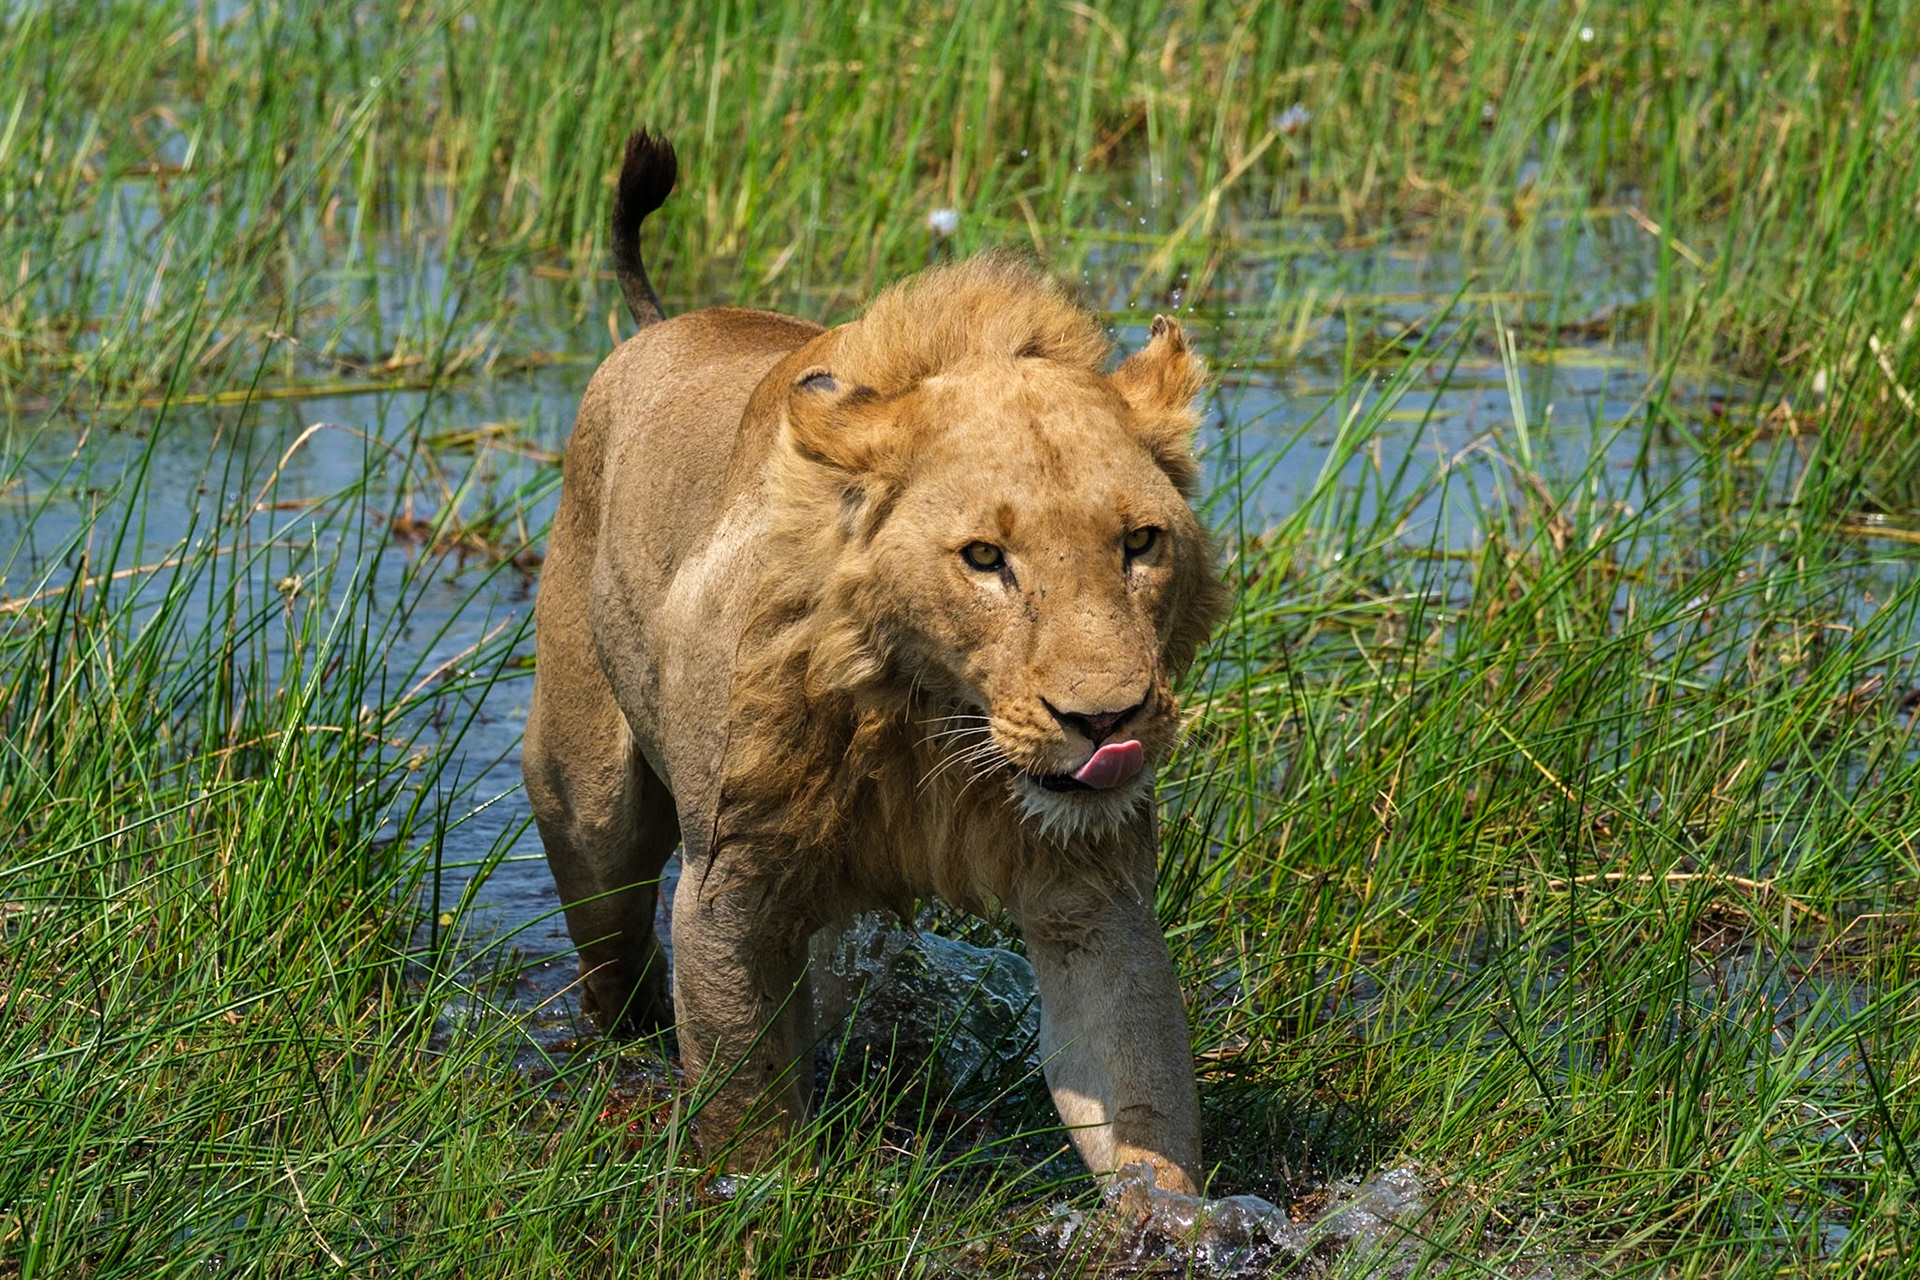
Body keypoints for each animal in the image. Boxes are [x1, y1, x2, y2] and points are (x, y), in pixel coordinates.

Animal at [522, 129, 1229, 1193]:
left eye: (1140, 543)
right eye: (984, 559)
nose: (1105, 721)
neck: (930, 719)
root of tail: (663, 324)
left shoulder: (1092, 895)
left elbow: (1136, 1093)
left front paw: (1180, 1220)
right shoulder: (730, 892)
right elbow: (746, 1109)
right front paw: (758, 1199)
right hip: (588, 805)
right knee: (610, 942)